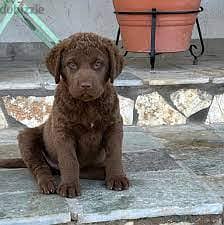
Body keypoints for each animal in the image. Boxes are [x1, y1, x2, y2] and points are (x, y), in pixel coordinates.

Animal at [16, 32, 130, 198]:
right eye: (71, 64)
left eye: (98, 63)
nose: (85, 85)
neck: (88, 105)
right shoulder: (63, 130)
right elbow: (68, 159)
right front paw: (69, 185)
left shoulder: (114, 125)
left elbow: (114, 154)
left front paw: (117, 178)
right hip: (27, 138)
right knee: (40, 167)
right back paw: (48, 184)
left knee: (84, 170)